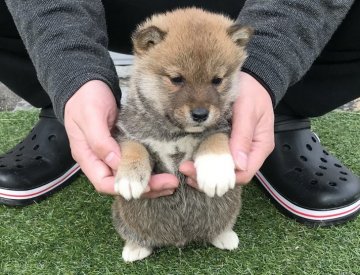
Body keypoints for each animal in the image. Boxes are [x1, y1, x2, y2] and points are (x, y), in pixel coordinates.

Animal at [112, 8, 250, 264]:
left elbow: (214, 139)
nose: (200, 114)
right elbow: (135, 148)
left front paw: (215, 172)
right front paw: (129, 178)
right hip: (122, 216)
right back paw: (135, 247)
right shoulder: (128, 132)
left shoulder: (223, 127)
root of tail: (181, 239)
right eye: (177, 79)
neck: (174, 132)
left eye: (217, 80)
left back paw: (224, 236)